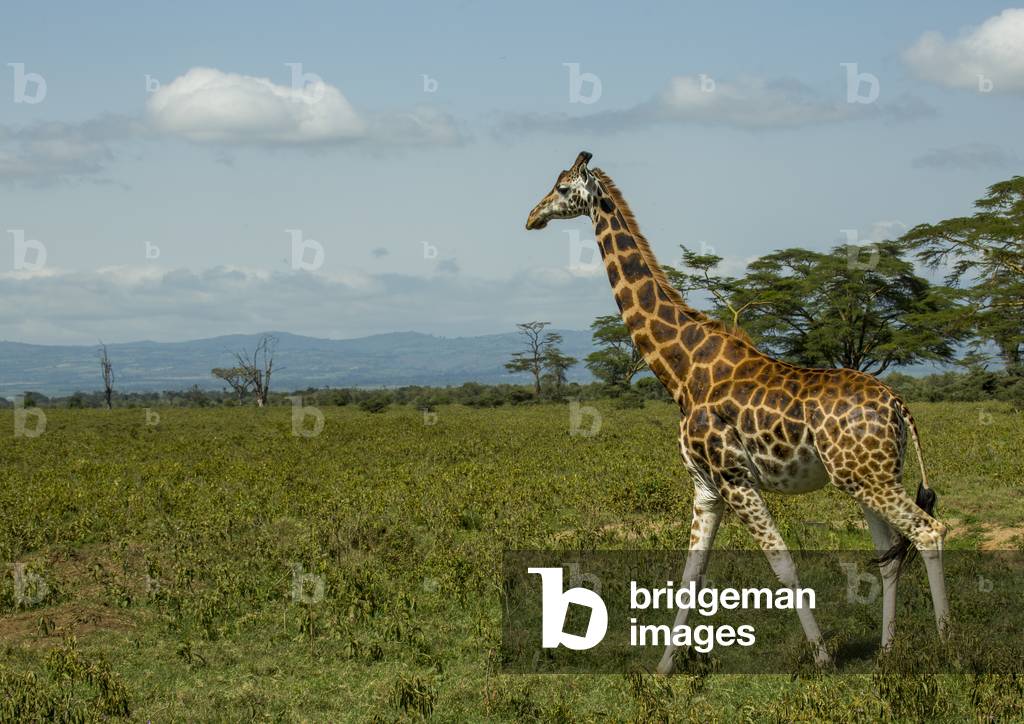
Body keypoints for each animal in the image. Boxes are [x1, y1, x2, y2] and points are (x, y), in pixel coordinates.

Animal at [525, 151, 950, 673]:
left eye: (564, 188)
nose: (532, 217)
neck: (683, 369)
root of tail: (898, 405)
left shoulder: (734, 478)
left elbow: (783, 563)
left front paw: (823, 659)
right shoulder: (706, 486)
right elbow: (691, 573)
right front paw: (663, 668)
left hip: (868, 478)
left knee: (929, 532)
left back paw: (950, 648)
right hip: (871, 475)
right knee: (890, 554)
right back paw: (887, 654)